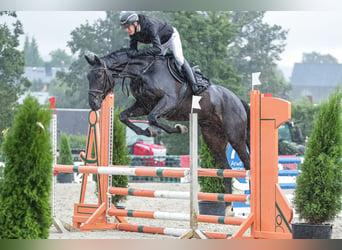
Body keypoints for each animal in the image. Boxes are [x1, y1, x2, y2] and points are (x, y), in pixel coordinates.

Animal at [85, 47, 251, 206]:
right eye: (88, 77)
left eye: (99, 75)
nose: (93, 104)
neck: (143, 72)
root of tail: (237, 100)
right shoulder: (144, 105)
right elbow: (124, 116)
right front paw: (147, 131)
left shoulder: (169, 101)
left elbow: (153, 118)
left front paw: (178, 128)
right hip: (213, 138)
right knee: (226, 170)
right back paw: (228, 207)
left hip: (235, 136)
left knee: (247, 163)